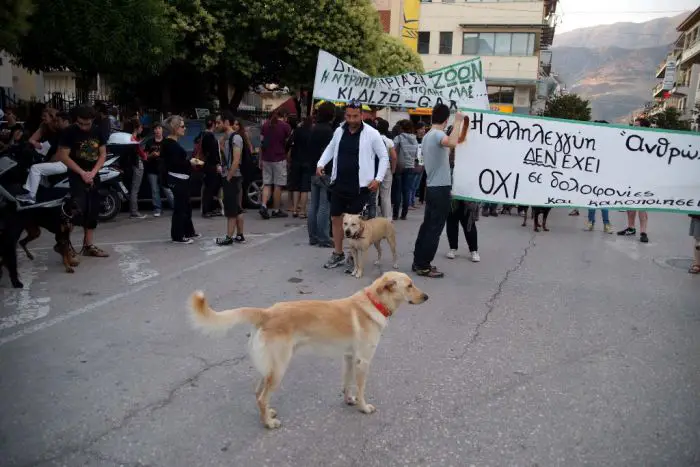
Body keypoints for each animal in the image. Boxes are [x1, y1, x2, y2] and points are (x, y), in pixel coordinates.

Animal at [189, 272, 426, 430]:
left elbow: (347, 383)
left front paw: (348, 400)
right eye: (410, 285)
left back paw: (267, 415)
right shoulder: (363, 361)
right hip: (279, 368)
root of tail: (267, 312)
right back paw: (269, 423)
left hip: (269, 368)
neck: (374, 302)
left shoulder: (349, 358)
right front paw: (363, 407)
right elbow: (360, 389)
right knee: (262, 397)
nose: (427, 297)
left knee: (257, 393)